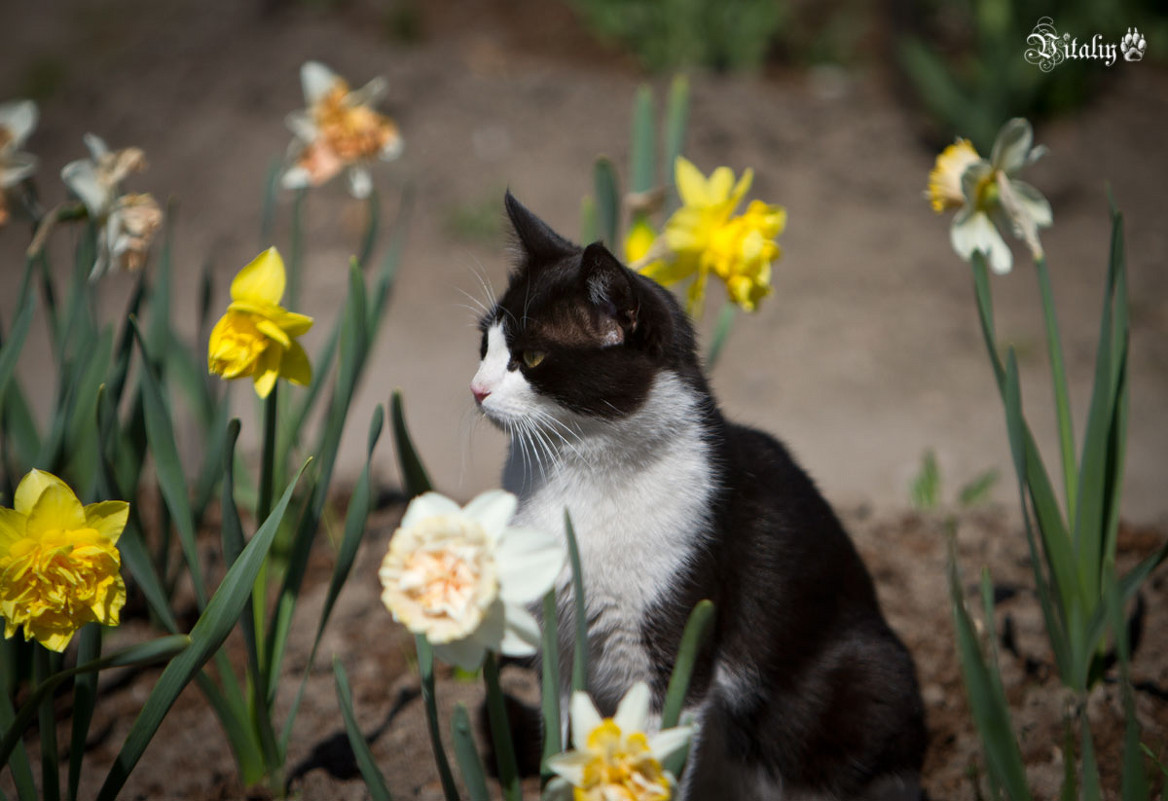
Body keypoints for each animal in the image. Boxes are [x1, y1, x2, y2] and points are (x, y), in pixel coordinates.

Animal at [469, 191, 925, 798]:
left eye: (532, 358)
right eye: (484, 345)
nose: (476, 389)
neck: (576, 477)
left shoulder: (675, 644)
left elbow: (658, 753)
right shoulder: (560, 650)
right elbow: (562, 746)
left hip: (862, 677)